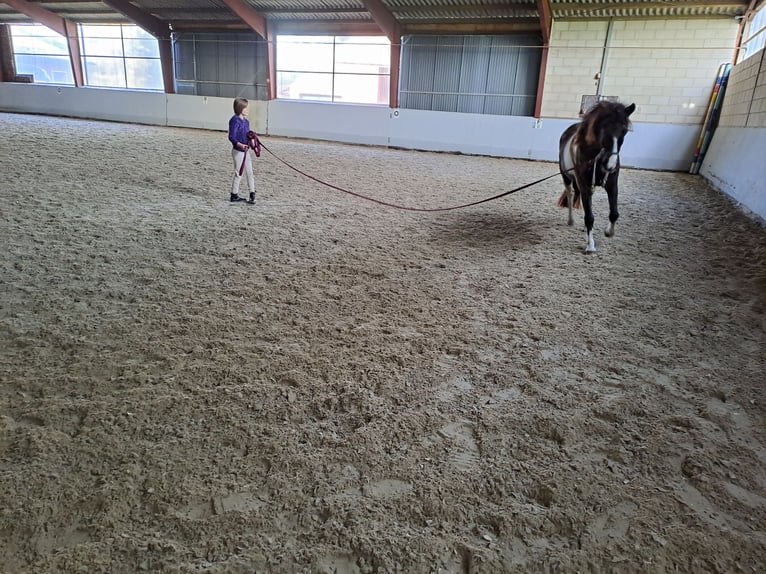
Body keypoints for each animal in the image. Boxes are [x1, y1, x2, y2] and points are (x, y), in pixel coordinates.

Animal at [560, 102, 640, 254]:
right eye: (603, 129)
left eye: (624, 131)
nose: (611, 164)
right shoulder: (584, 185)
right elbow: (589, 217)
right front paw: (590, 246)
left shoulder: (612, 184)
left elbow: (614, 213)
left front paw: (609, 232)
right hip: (566, 176)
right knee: (570, 194)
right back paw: (571, 220)